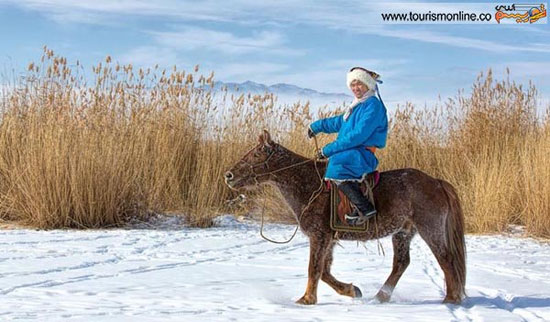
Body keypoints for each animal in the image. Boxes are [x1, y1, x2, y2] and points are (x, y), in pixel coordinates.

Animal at [226, 130, 468, 304]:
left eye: (256, 154)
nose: (229, 175)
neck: (307, 184)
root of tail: (436, 182)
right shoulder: (328, 239)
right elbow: (324, 272)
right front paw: (352, 291)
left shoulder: (319, 236)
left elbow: (314, 268)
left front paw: (306, 300)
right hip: (403, 233)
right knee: (401, 263)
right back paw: (380, 297)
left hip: (430, 228)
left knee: (446, 259)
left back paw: (451, 299)